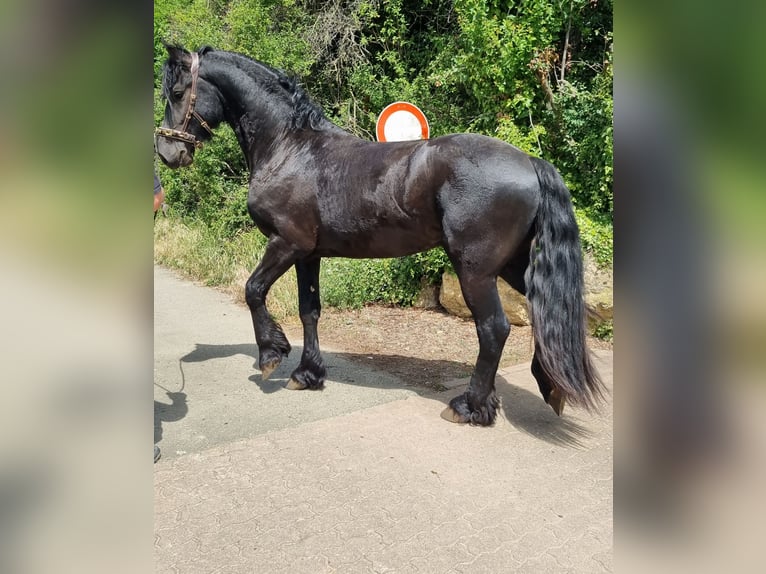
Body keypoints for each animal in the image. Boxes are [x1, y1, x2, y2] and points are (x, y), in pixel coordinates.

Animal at [154, 46, 608, 428]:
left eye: (177, 92)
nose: (167, 152)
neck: (290, 147)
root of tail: (530, 161)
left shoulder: (286, 244)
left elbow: (253, 290)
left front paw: (271, 355)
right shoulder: (308, 255)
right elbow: (309, 311)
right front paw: (308, 373)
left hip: (476, 269)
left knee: (494, 328)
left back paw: (470, 407)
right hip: (516, 266)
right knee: (552, 314)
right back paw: (547, 389)